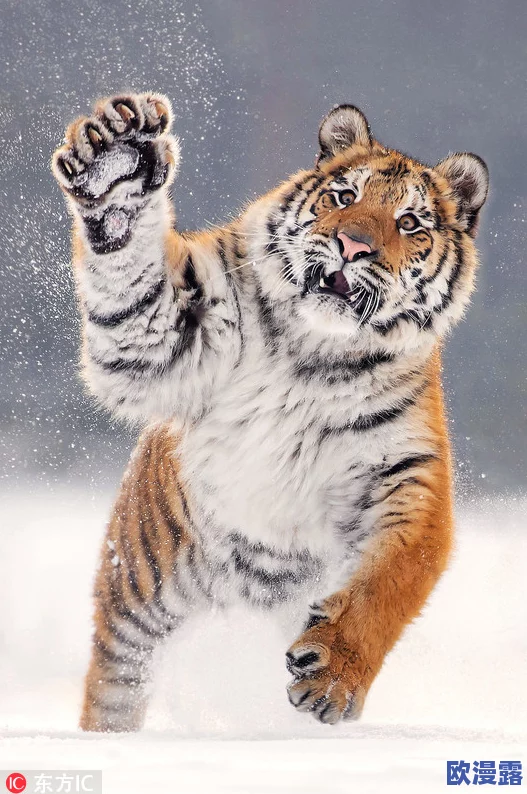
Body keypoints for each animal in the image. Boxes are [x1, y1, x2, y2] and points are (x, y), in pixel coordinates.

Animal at [51, 93, 488, 731]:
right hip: (139, 590)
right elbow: (133, 285)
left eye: (409, 223)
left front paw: (332, 677)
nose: (353, 246)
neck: (316, 354)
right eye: (344, 197)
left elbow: (389, 582)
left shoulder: (404, 474)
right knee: (116, 684)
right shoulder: (167, 335)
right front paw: (115, 162)